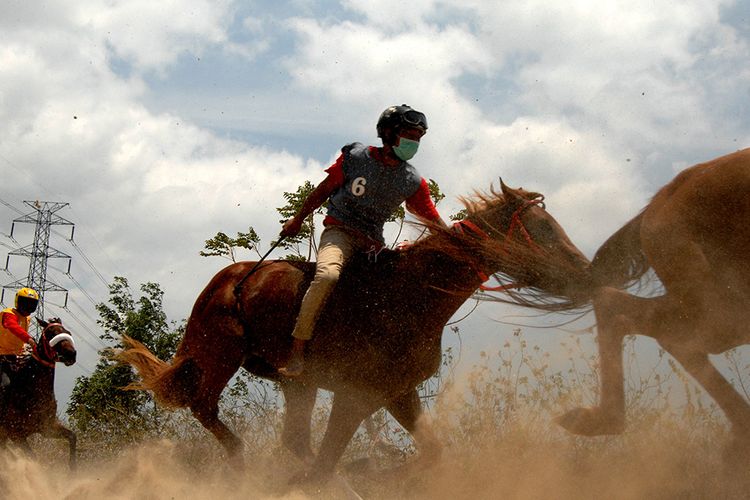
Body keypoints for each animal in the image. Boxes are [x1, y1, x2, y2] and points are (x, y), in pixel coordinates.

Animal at [0, 320, 77, 468]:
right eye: (51, 333)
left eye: (68, 332)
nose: (71, 354)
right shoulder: (16, 434)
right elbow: (33, 458)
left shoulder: (47, 428)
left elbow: (72, 436)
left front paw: (72, 469)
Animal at [119, 182, 592, 478]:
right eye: (541, 229)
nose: (585, 273)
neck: (411, 294)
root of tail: (228, 280)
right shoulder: (355, 396)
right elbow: (329, 462)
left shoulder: (397, 394)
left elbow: (431, 454)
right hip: (218, 357)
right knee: (205, 407)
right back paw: (241, 458)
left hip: (298, 384)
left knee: (294, 441)